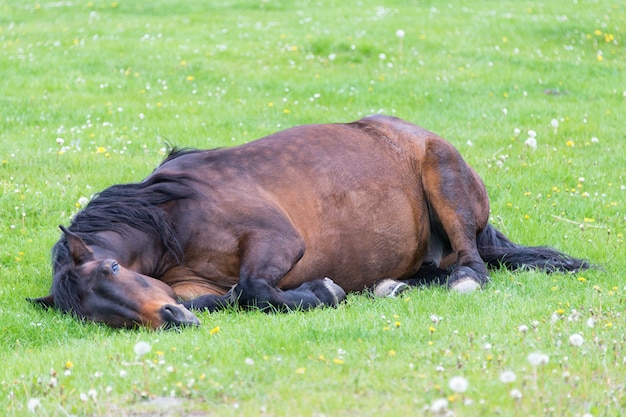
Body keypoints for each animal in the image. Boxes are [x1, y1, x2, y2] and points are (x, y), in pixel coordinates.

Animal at [28, 114, 584, 328]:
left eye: (113, 269)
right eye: (99, 316)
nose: (171, 319)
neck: (173, 218)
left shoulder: (277, 240)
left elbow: (254, 287)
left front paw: (321, 292)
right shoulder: (186, 285)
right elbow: (231, 296)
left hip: (444, 181)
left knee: (471, 263)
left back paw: (461, 280)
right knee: (433, 269)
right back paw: (389, 286)